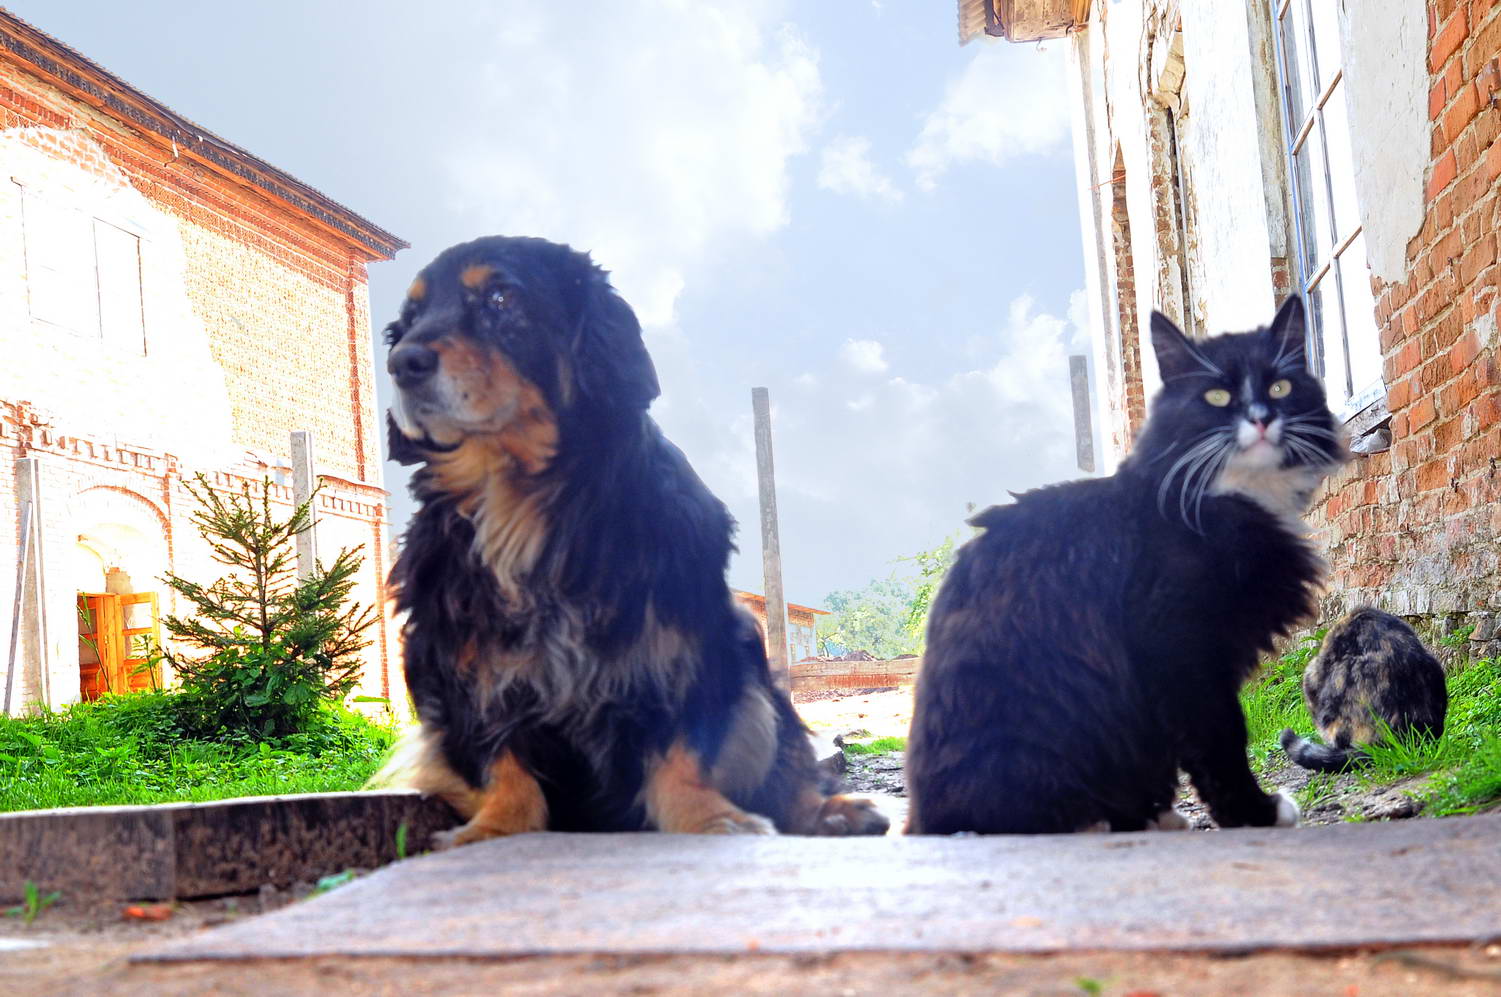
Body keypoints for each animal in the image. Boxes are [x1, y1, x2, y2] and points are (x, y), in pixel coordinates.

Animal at [378, 235, 888, 845]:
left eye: (502, 298)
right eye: (408, 320)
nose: (401, 363)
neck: (519, 501)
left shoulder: (685, 631)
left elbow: (683, 740)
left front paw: (705, 817)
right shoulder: (451, 652)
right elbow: (495, 756)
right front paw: (498, 828)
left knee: (787, 759)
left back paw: (829, 811)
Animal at [904, 295, 1347, 834]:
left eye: (1280, 386)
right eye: (1217, 396)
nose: (1262, 418)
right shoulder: (1179, 644)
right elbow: (1221, 736)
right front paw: (1253, 814)